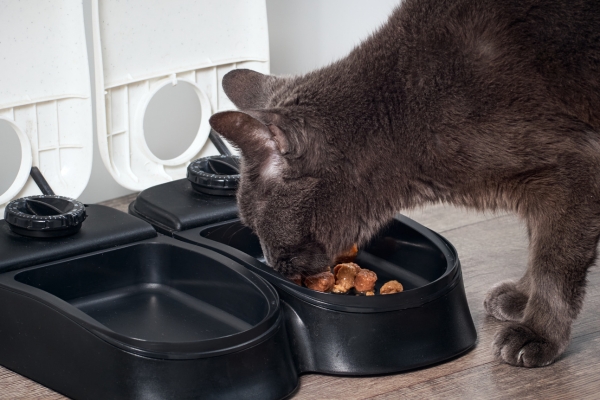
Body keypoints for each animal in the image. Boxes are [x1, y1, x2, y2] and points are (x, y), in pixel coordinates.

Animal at [210, 0, 600, 368]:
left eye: (254, 222)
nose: (271, 263)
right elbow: (538, 241)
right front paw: (520, 297)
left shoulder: (576, 166)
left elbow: (552, 263)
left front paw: (536, 333)